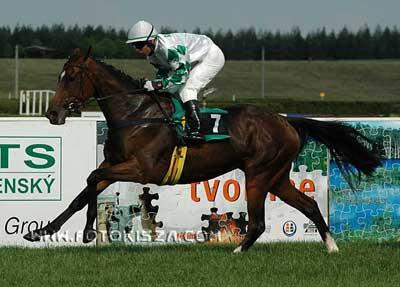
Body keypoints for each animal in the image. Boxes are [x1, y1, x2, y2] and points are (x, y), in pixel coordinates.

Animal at [23, 48, 382, 253]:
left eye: (71, 77)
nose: (52, 113)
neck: (136, 114)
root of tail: (286, 120)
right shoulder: (117, 164)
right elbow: (85, 190)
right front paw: (44, 231)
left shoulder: (141, 168)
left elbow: (91, 177)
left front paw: (83, 231)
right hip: (277, 176)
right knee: (308, 204)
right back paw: (331, 246)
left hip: (259, 174)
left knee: (258, 222)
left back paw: (237, 252)